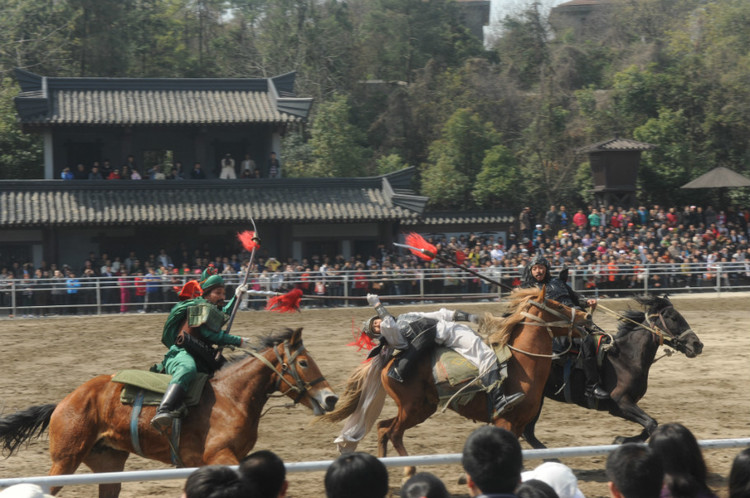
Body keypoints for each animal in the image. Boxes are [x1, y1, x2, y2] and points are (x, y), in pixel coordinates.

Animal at [0, 328, 336, 496]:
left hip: (107, 465)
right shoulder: (219, 455)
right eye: (303, 362)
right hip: (65, 460)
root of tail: (63, 402)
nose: (330, 398)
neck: (232, 396)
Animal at [326, 286, 596, 476]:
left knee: (383, 428)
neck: (521, 364)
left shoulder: (519, 426)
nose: (586, 316)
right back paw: (408, 469)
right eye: (558, 304)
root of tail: (389, 361)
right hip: (413, 408)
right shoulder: (505, 422)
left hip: (420, 408)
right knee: (393, 432)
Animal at [524, 294, 704, 450]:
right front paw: (621, 439)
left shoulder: (621, 407)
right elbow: (651, 423)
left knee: (528, 433)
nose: (697, 345)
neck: (625, 358)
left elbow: (650, 425)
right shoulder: (620, 402)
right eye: (672, 317)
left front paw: (621, 440)